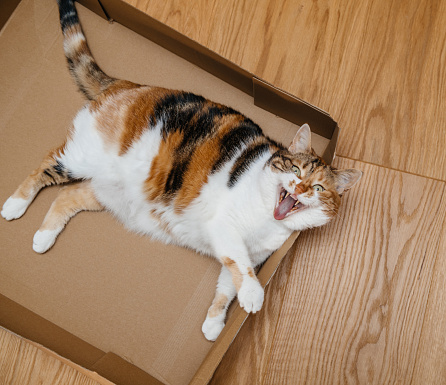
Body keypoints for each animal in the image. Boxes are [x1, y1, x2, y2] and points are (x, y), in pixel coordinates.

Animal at [0, 0, 362, 342]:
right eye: (294, 167)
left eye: (318, 188)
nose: (299, 187)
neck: (265, 220)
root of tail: (126, 85)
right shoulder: (227, 229)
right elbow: (241, 266)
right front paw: (253, 296)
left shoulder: (254, 253)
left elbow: (228, 283)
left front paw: (215, 323)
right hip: (82, 157)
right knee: (46, 165)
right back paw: (14, 206)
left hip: (109, 191)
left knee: (67, 195)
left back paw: (43, 238)